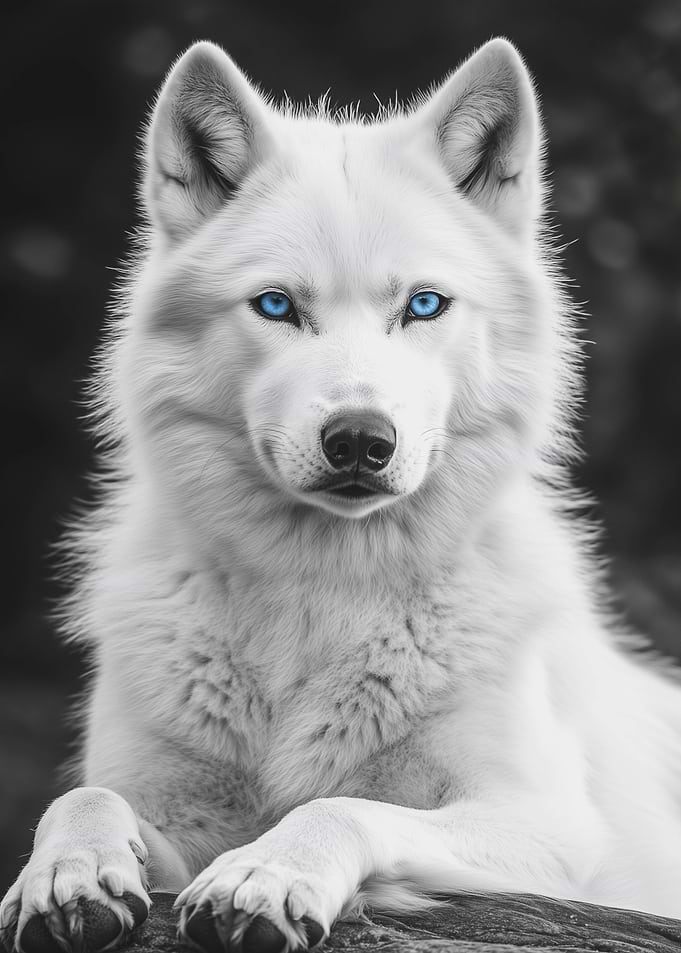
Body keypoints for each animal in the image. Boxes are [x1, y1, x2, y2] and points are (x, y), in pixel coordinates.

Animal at [3, 34, 681, 953]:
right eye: (276, 306)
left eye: (423, 305)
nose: (360, 438)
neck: (317, 593)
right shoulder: (165, 807)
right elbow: (82, 796)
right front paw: (66, 875)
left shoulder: (548, 831)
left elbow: (344, 804)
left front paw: (266, 875)